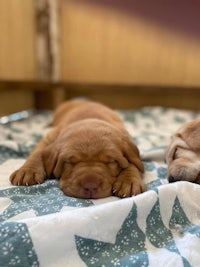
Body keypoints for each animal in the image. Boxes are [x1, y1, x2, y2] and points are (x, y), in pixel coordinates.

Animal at [9, 100, 146, 199]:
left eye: (111, 161)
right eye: (69, 162)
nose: (90, 186)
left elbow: (132, 162)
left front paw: (129, 181)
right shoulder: (49, 137)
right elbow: (37, 152)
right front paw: (27, 171)